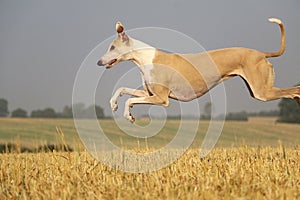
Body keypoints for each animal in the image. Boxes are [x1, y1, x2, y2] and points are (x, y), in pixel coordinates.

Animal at [98, 18, 300, 122]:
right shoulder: (149, 93)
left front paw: (128, 115)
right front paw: (114, 104)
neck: (145, 58)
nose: (99, 62)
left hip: (262, 92)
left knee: (295, 90)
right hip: (257, 90)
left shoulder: (161, 99)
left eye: (112, 47)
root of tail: (261, 53)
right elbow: (123, 89)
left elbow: (129, 100)